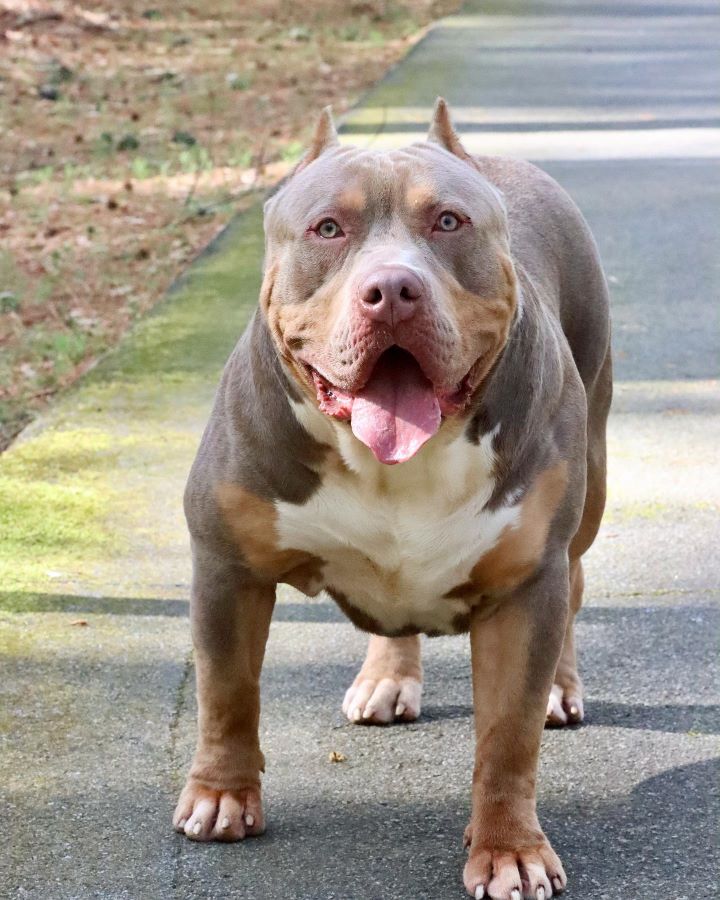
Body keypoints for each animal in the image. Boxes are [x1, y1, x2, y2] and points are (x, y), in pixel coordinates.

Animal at [172, 98, 612, 900]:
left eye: (448, 222)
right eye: (328, 228)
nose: (394, 291)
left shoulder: (524, 588)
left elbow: (508, 738)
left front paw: (510, 850)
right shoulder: (226, 564)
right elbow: (226, 691)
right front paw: (222, 795)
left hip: (589, 474)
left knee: (575, 579)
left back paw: (559, 687)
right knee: (390, 613)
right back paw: (386, 678)